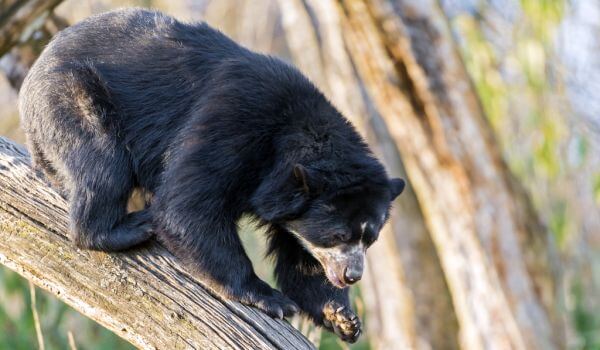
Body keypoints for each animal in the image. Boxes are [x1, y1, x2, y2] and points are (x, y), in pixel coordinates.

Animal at [19, 8, 404, 342]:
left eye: (369, 239)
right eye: (338, 234)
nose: (352, 276)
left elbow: (301, 256)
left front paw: (342, 317)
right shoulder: (231, 124)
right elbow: (186, 207)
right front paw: (271, 298)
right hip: (71, 99)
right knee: (103, 167)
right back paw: (133, 225)